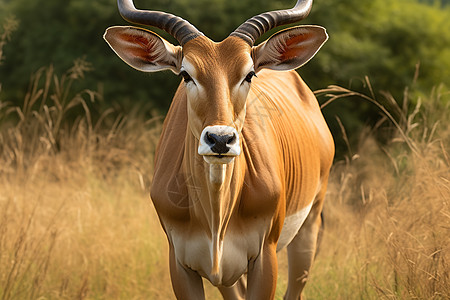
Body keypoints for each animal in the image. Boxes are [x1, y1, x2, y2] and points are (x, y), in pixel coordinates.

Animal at [103, 0, 334, 298]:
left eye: (249, 74)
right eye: (185, 74)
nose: (220, 139)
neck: (216, 217)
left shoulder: (265, 257)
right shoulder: (182, 265)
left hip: (308, 229)